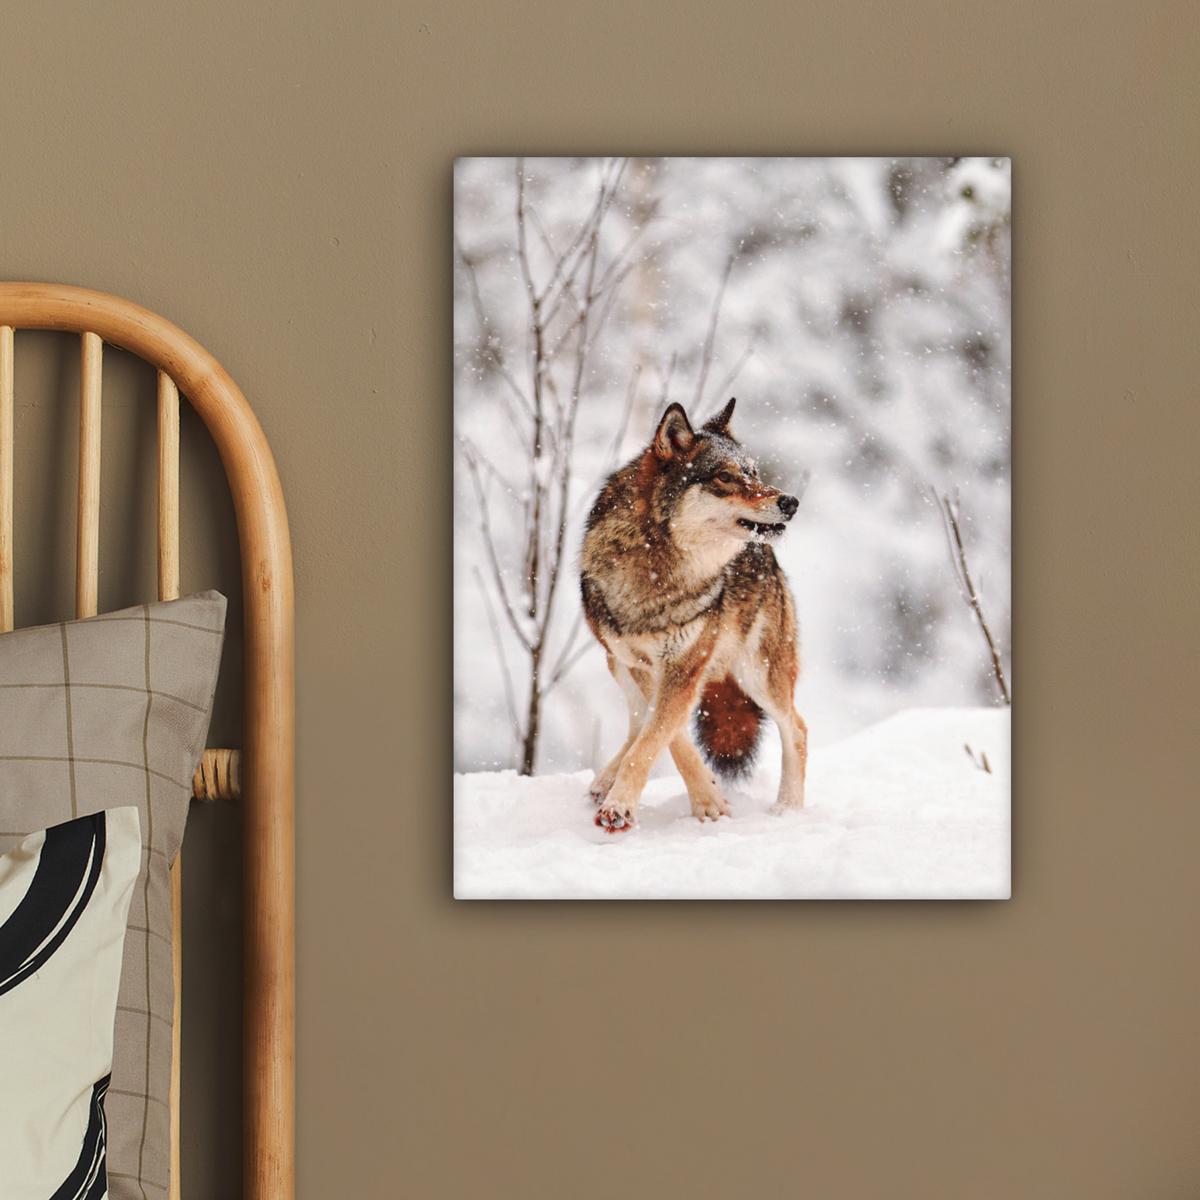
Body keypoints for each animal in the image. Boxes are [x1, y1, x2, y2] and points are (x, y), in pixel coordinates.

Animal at [580, 397, 807, 832]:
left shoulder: (684, 666)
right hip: (616, 663)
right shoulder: (644, 665)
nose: (790, 502)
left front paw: (622, 807)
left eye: (754, 473)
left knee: (798, 729)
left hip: (759, 675)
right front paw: (707, 798)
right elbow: (665, 737)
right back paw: (603, 781)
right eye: (725, 477)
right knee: (637, 721)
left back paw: (788, 809)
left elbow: (655, 738)